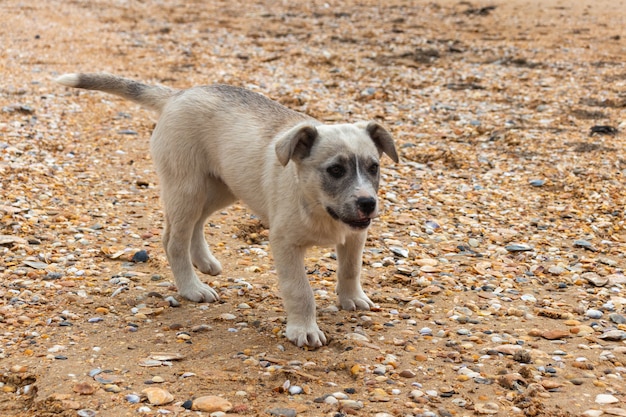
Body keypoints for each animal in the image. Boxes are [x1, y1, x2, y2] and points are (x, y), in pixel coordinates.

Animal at [56, 73, 398, 346]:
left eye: (374, 167)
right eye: (335, 170)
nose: (368, 203)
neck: (315, 203)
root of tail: (178, 95)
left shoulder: (354, 235)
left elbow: (350, 269)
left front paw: (351, 298)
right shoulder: (284, 243)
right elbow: (299, 290)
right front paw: (303, 330)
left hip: (222, 188)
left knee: (196, 224)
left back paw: (204, 262)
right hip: (188, 188)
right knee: (173, 240)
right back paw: (192, 287)